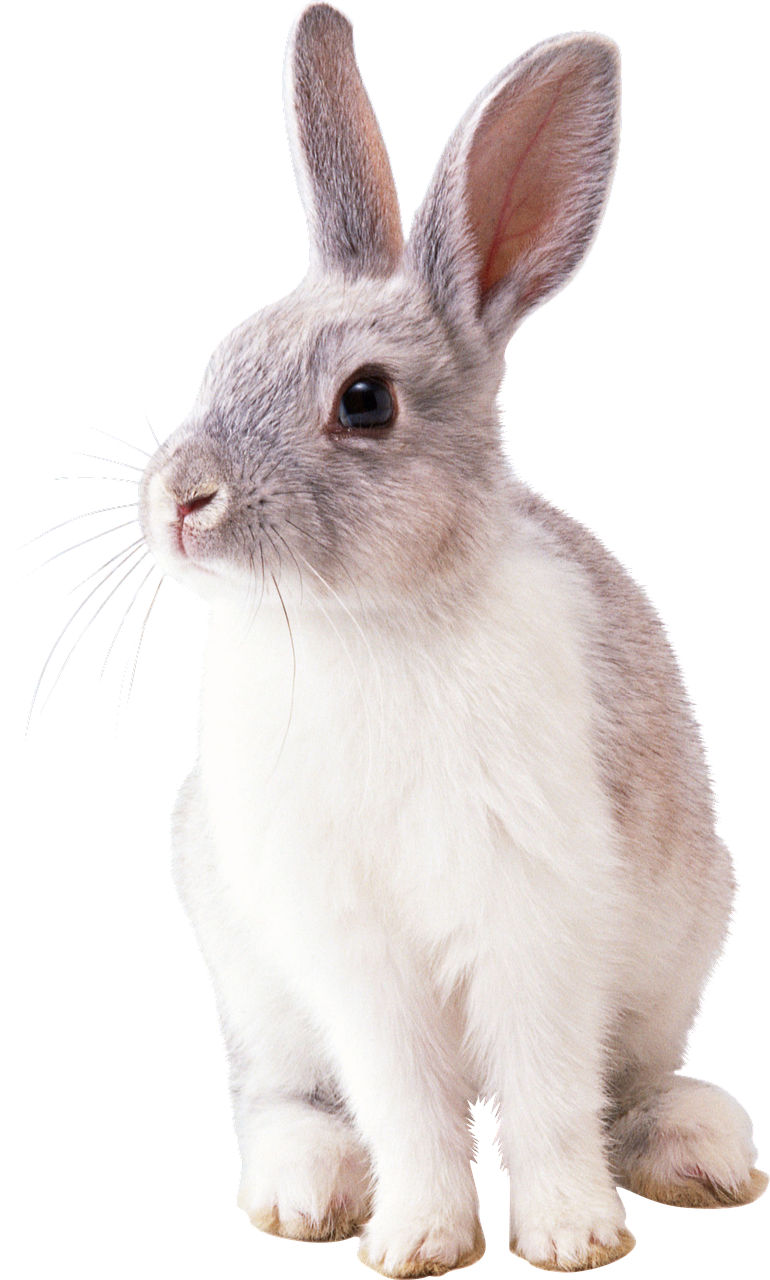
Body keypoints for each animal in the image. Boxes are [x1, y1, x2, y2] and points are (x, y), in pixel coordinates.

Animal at [139, 2, 768, 1274]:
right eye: (223, 358)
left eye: (364, 400)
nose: (179, 500)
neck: (370, 621)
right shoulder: (352, 950)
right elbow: (403, 1096)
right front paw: (416, 1238)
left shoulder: (532, 918)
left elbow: (542, 1088)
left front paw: (570, 1232)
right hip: (254, 986)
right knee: (282, 1099)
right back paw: (301, 1194)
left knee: (629, 1081)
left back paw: (698, 1151)